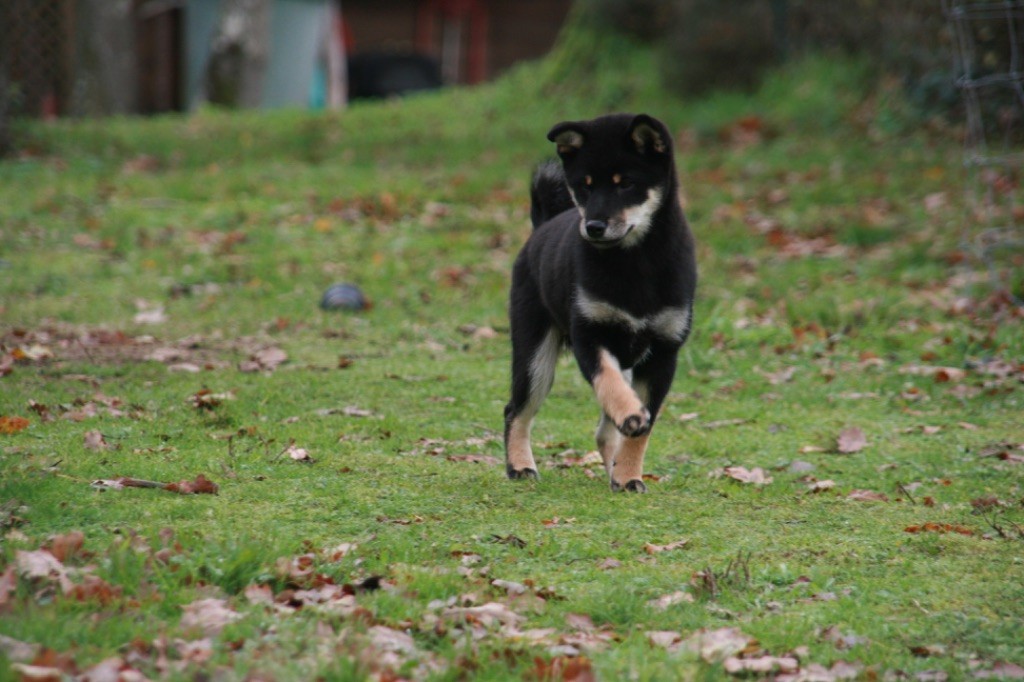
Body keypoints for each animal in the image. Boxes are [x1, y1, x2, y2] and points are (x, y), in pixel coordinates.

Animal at [503, 114, 696, 491]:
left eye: (626, 184)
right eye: (585, 186)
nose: (593, 226)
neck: (635, 262)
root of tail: (541, 228)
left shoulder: (664, 352)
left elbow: (642, 428)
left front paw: (629, 475)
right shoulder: (590, 335)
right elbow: (608, 382)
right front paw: (631, 413)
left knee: (605, 433)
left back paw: (614, 472)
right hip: (535, 355)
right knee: (516, 410)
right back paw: (520, 466)